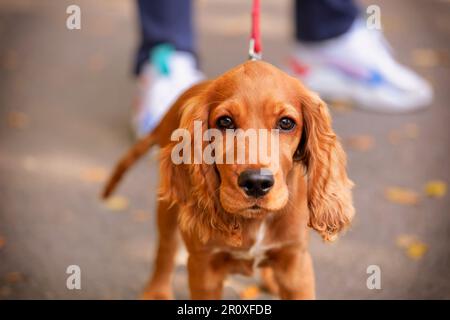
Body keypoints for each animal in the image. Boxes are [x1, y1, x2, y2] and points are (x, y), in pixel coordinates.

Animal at [103, 60, 356, 300]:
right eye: (225, 122)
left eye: (286, 123)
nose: (257, 183)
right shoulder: (203, 267)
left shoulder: (296, 262)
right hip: (168, 208)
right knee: (166, 247)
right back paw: (157, 291)